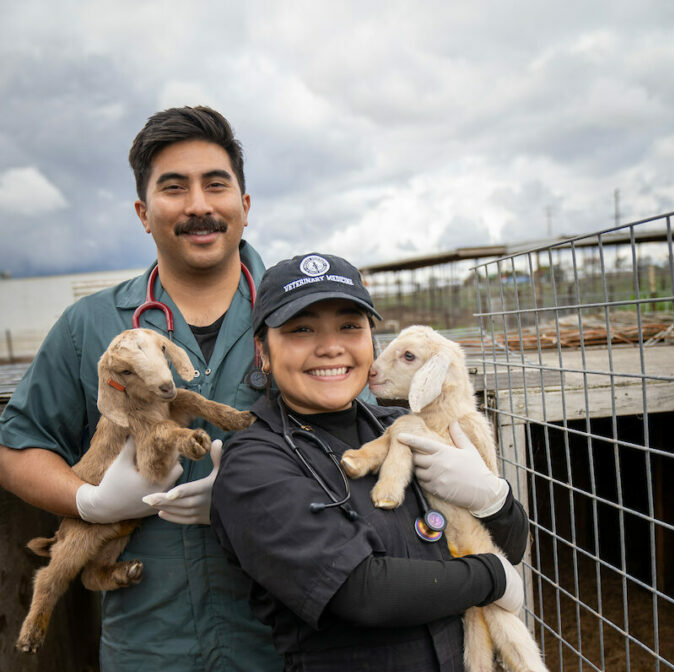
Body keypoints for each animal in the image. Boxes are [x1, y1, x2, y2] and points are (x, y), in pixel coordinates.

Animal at [342, 326, 544, 672]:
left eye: (409, 356)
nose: (372, 374)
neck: (445, 415)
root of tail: (470, 551)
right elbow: (388, 433)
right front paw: (356, 460)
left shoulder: (448, 441)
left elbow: (402, 426)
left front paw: (387, 491)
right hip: (475, 616)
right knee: (477, 654)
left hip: (503, 611)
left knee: (521, 650)